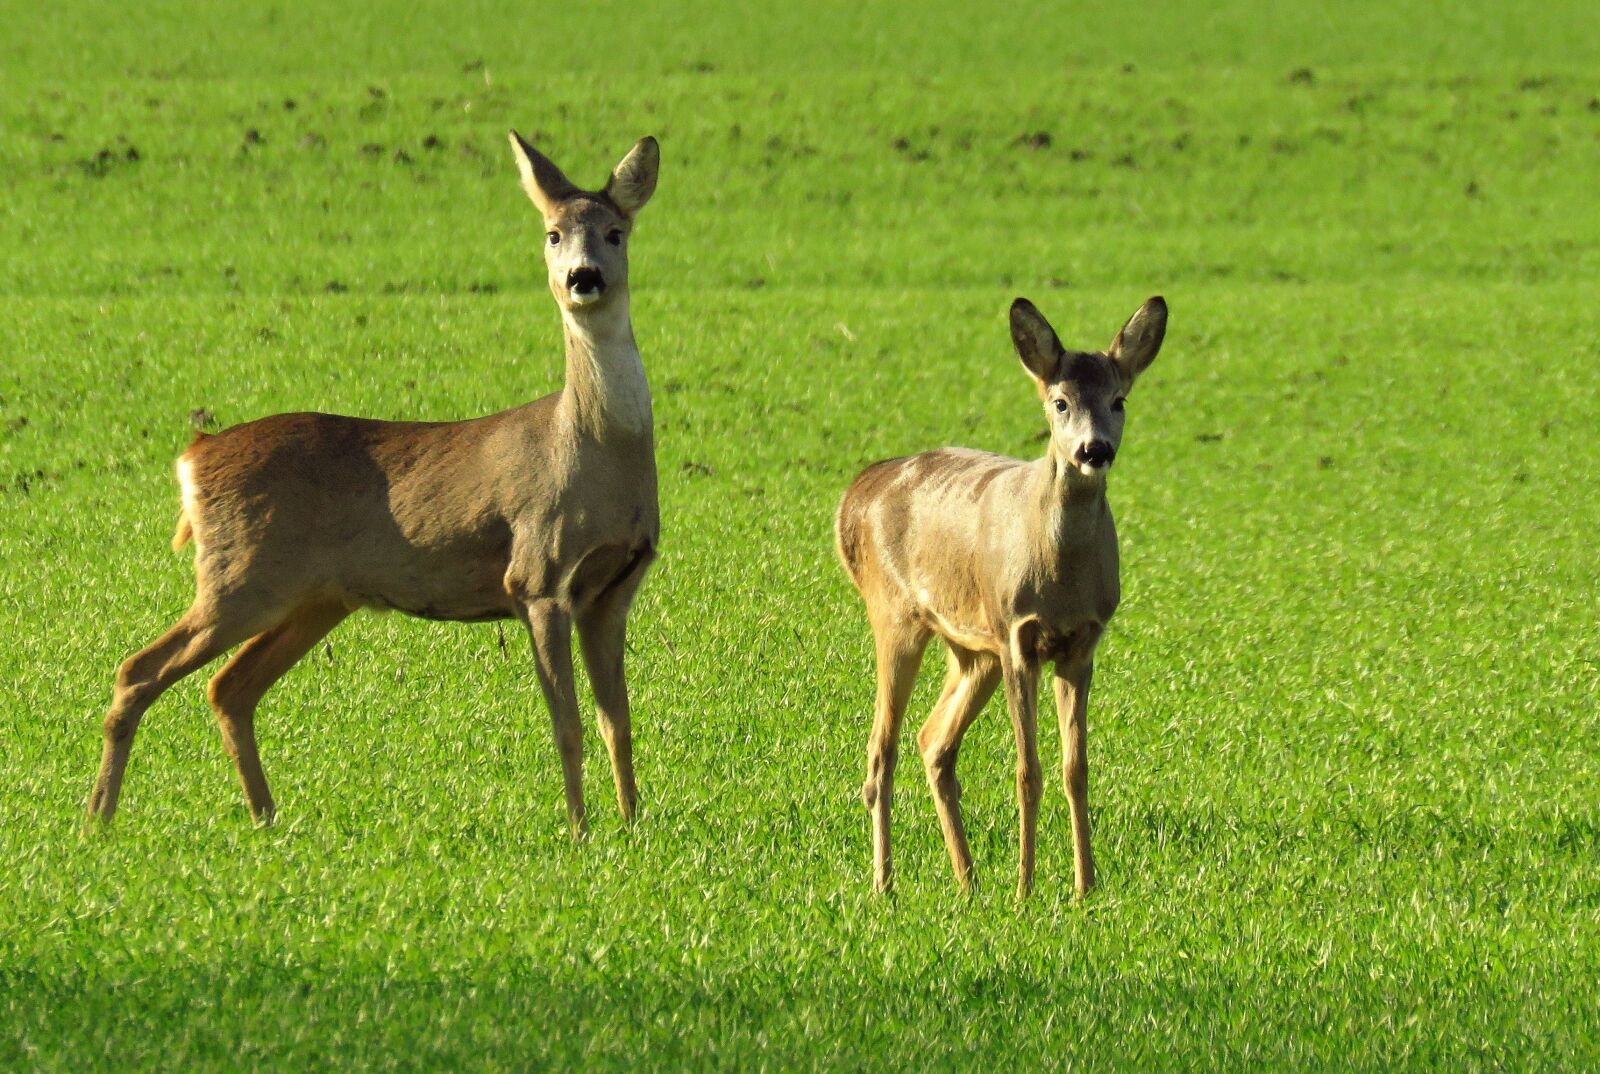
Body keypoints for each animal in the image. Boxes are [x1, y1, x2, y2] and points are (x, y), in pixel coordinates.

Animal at [85, 132, 662, 839]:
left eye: (615, 231)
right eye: (553, 233)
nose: (584, 277)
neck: (594, 452)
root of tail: (194, 457)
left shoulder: (613, 588)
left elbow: (619, 724)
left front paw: (632, 828)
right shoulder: (537, 573)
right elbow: (568, 725)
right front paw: (580, 834)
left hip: (315, 597)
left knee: (229, 687)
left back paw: (265, 819)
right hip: (240, 577)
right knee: (137, 669)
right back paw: (98, 821)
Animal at [835, 295, 1167, 898]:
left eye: (1119, 400)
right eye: (1059, 401)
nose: (1095, 449)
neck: (1060, 575)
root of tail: (854, 497)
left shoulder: (1082, 642)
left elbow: (1075, 769)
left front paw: (1085, 889)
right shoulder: (1017, 634)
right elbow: (1027, 770)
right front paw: (1025, 890)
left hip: (971, 649)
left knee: (933, 741)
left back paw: (967, 881)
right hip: (896, 614)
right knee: (880, 751)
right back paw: (884, 885)